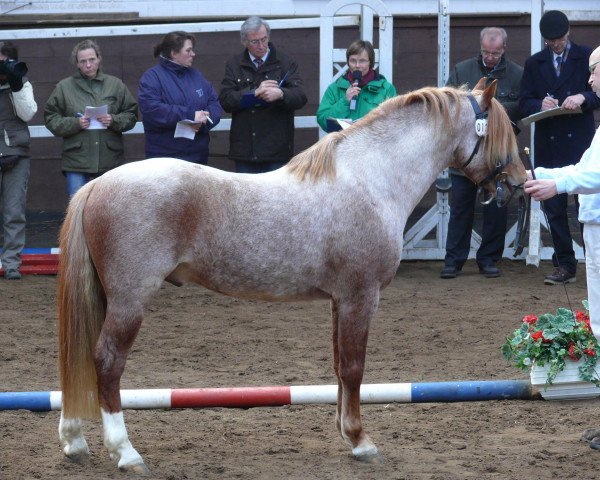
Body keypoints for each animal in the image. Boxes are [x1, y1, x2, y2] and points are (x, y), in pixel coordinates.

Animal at [56, 79, 524, 472]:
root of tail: (97, 185)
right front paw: (361, 441)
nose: (520, 184)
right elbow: (354, 367)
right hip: (130, 300)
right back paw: (125, 452)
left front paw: (346, 433)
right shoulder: (361, 296)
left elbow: (339, 367)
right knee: (107, 362)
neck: (371, 179)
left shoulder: (340, 301)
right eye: (499, 133)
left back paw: (75, 440)